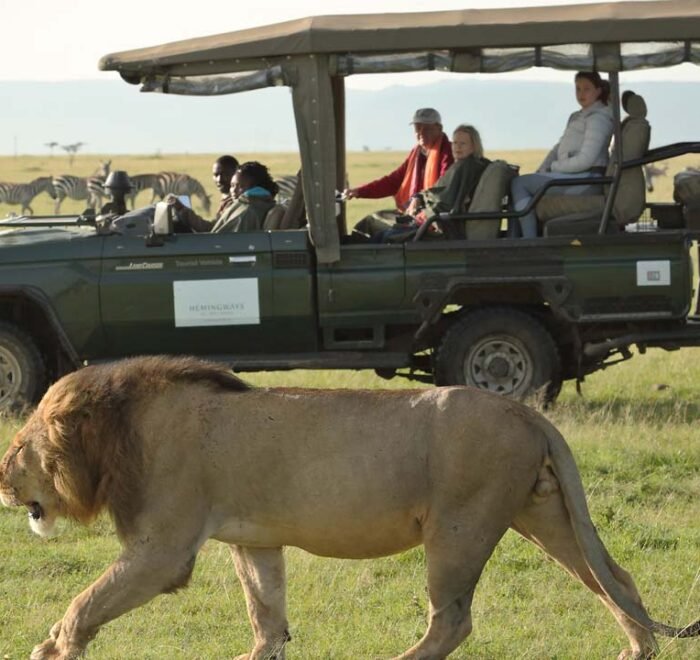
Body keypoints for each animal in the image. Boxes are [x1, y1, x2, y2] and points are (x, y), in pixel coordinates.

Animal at [0, 356, 696, 660]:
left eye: (17, 444)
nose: (2, 482)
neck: (120, 428)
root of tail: (525, 411)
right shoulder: (254, 538)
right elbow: (267, 615)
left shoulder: (162, 549)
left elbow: (84, 602)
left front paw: (52, 650)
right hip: (543, 514)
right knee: (616, 579)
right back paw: (638, 650)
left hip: (459, 528)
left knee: (453, 621)